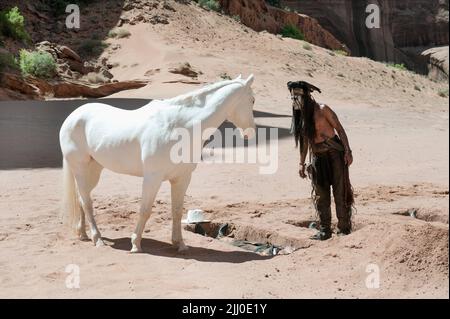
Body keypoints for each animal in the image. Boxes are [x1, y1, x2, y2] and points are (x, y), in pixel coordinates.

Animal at [59, 74, 255, 252]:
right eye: (252, 100)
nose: (250, 133)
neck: (179, 127)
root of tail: (73, 117)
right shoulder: (152, 178)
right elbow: (145, 210)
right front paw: (136, 244)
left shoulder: (182, 178)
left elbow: (177, 211)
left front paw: (179, 244)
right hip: (80, 169)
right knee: (87, 202)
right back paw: (98, 239)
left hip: (93, 170)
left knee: (82, 198)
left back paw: (83, 234)